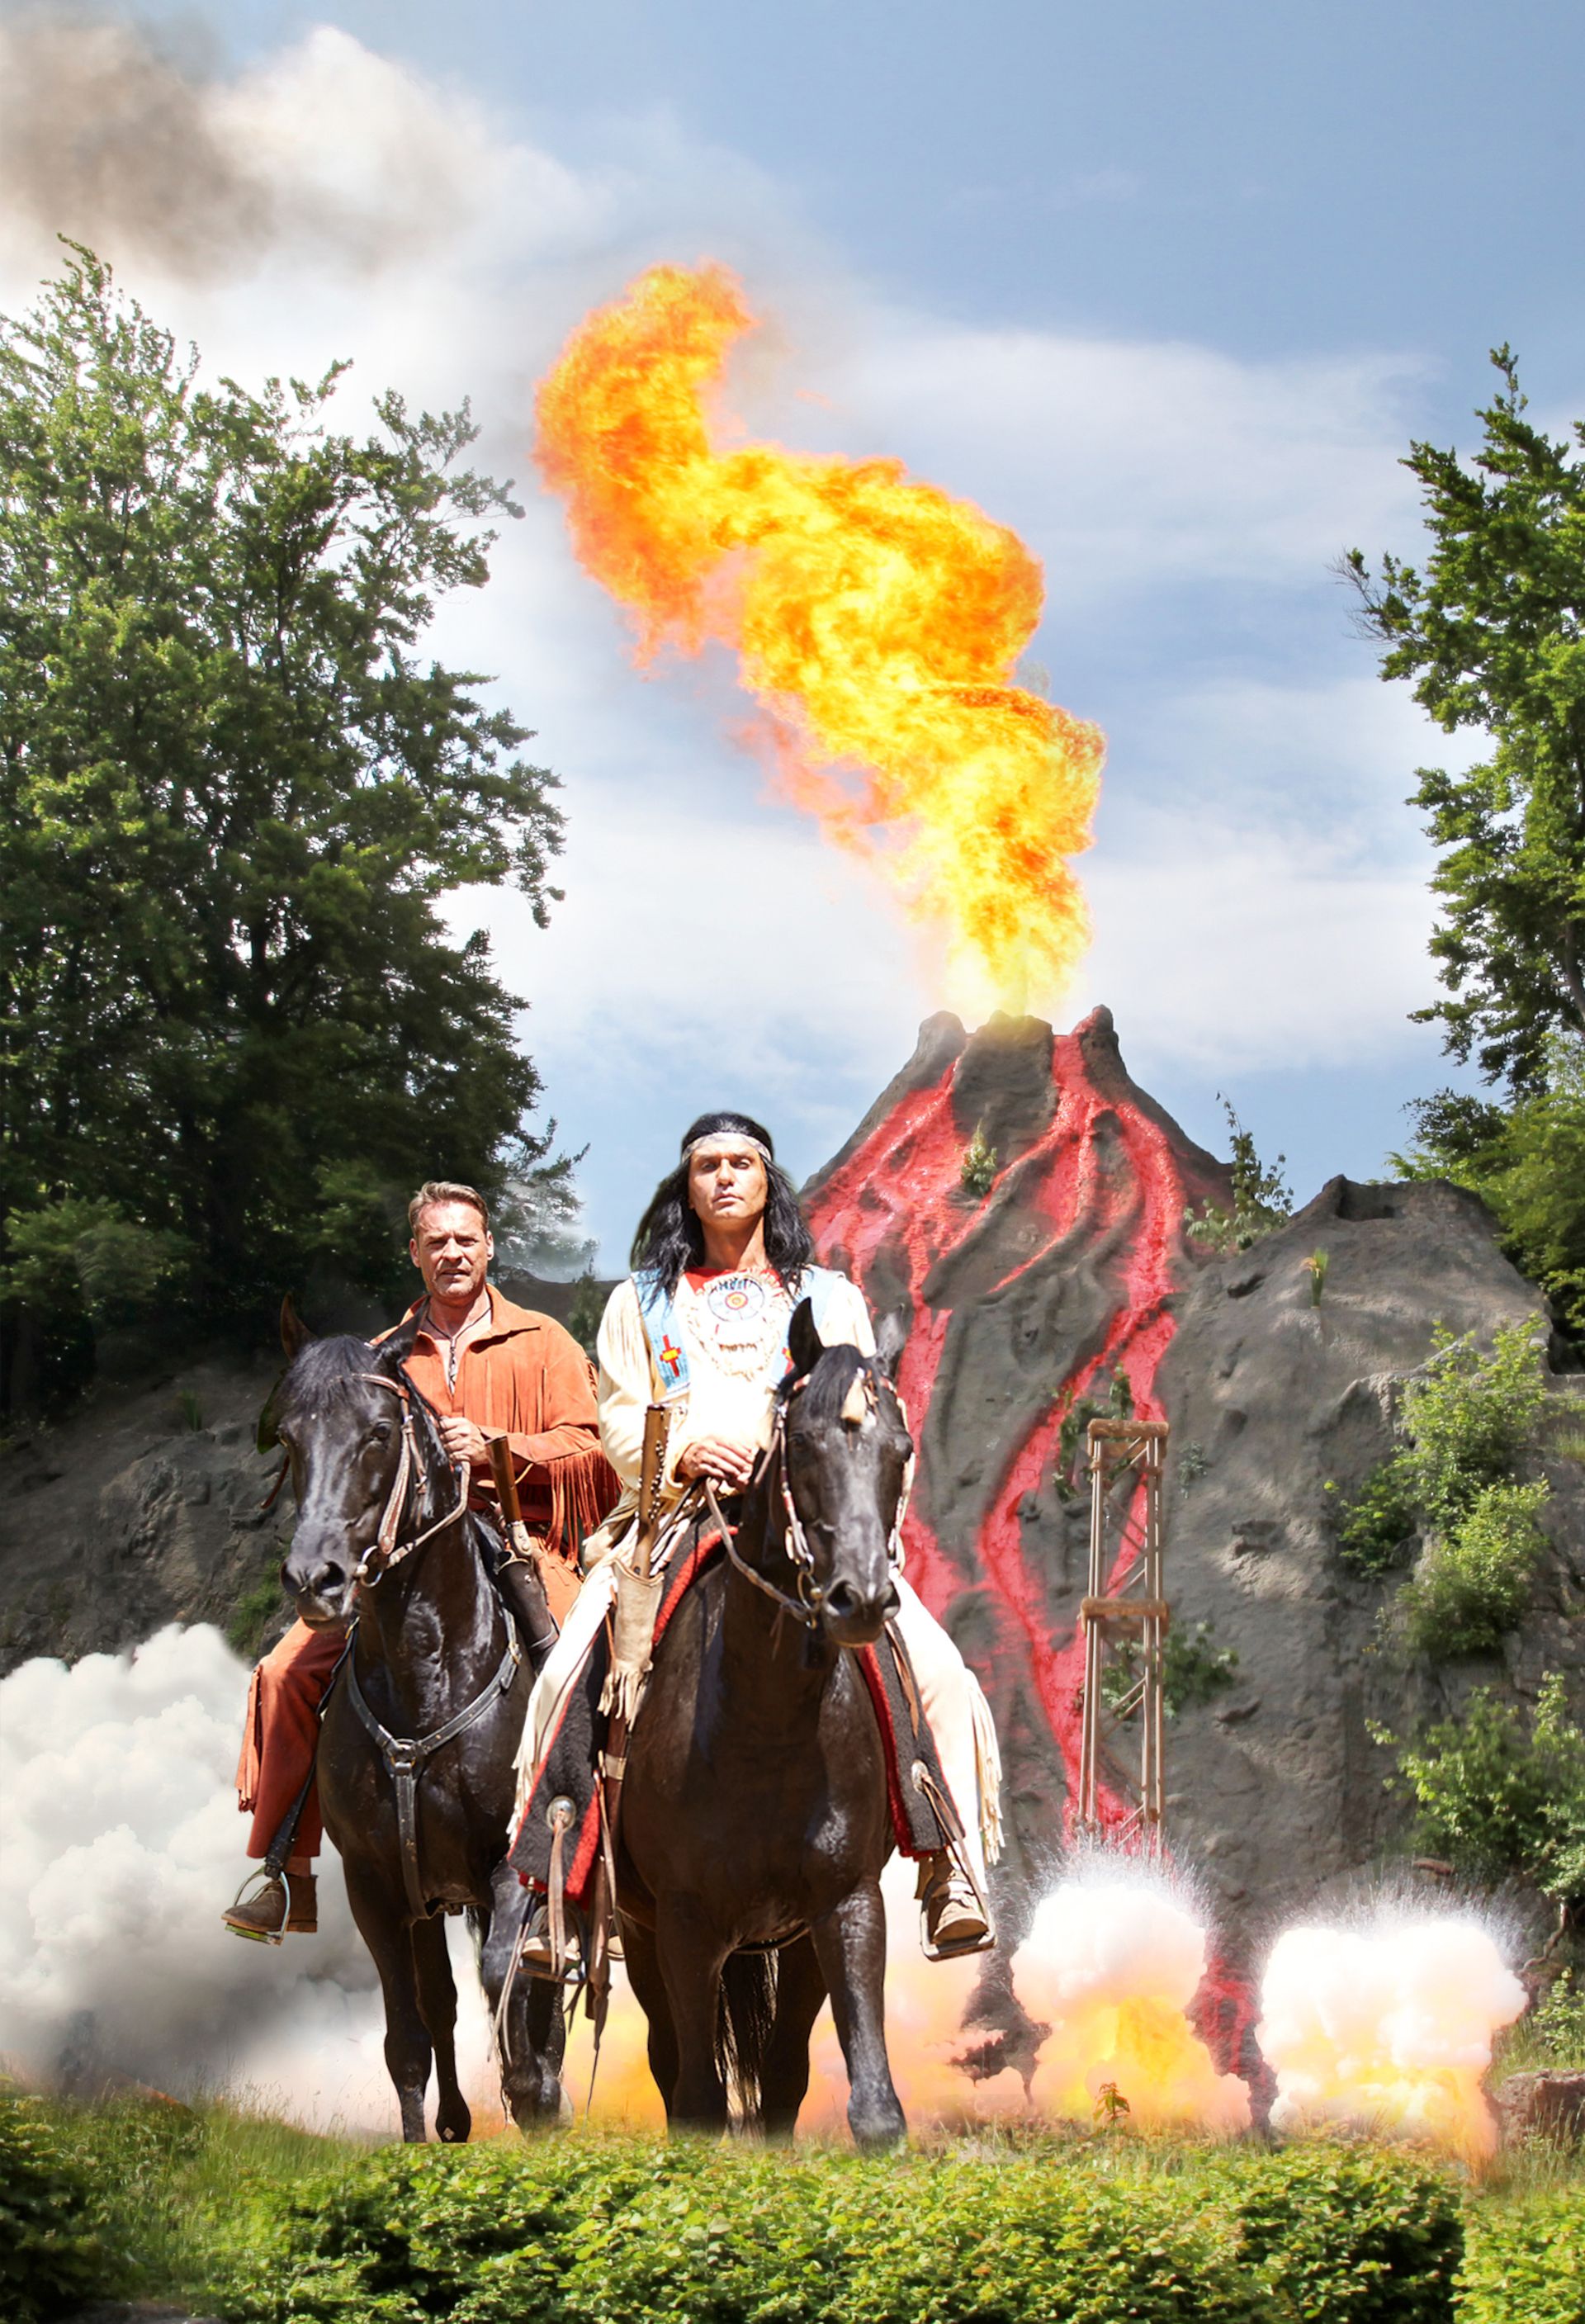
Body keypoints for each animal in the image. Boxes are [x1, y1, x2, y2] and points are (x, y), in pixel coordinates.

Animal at [268, 1319, 565, 2147]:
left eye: (376, 1433)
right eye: (290, 1437)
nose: (316, 1579)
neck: (427, 1678)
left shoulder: (511, 1866)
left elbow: (511, 1979)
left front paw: (534, 2095)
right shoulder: (374, 1881)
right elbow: (407, 2028)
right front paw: (420, 2142)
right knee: (439, 1998)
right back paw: (459, 2121)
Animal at [617, 1301, 916, 2147]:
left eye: (902, 1449)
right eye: (805, 1441)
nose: (860, 1597)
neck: (765, 1727)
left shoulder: (844, 1905)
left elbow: (871, 2110)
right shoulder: (684, 1925)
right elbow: (697, 2104)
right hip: (643, 1937)